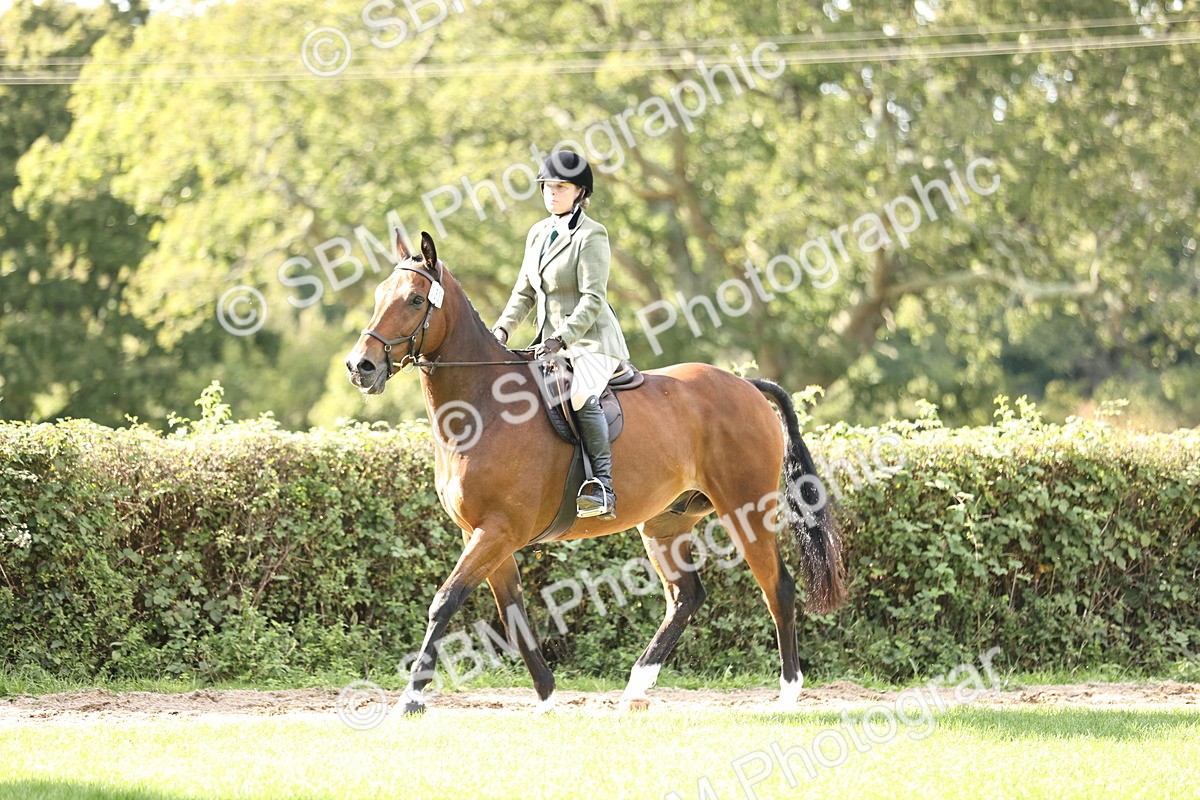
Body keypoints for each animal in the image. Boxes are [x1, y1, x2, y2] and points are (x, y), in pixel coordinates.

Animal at [345, 230, 846, 714]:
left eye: (415, 300)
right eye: (380, 294)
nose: (359, 366)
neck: (482, 405)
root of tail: (746, 385)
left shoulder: (498, 531)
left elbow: (445, 601)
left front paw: (412, 698)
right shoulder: (484, 535)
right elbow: (514, 617)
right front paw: (547, 697)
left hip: (745, 510)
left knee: (777, 588)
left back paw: (787, 694)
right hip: (665, 523)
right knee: (686, 596)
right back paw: (636, 687)